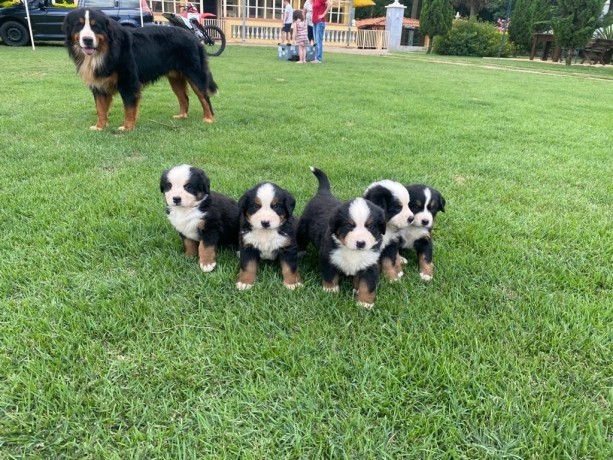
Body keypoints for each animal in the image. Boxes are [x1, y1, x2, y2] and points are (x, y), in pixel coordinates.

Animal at [64, 9, 216, 131]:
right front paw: (99, 127)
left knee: (204, 97)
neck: (105, 51)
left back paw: (209, 118)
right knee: (184, 97)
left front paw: (127, 127)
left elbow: (129, 108)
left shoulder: (128, 82)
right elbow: (101, 109)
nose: (87, 39)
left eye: (96, 26)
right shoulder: (99, 84)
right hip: (175, 78)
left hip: (195, 73)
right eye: (79, 25)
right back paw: (182, 116)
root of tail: (192, 34)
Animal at [298, 166, 388, 310]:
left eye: (370, 226)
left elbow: (367, 285)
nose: (361, 243)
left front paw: (365, 303)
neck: (352, 251)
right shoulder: (327, 256)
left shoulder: (370, 263)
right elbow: (330, 275)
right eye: (349, 225)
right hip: (303, 229)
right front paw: (330, 291)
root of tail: (323, 192)